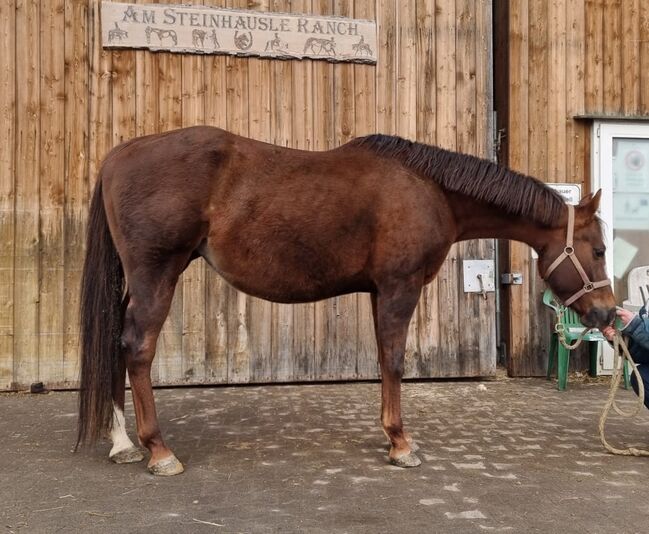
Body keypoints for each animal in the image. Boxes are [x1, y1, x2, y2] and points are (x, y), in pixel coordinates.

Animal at [78, 126, 616, 478]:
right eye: (599, 250)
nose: (608, 313)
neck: (430, 190)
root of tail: (120, 154)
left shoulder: (381, 292)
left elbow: (383, 361)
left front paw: (391, 435)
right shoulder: (400, 287)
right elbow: (395, 361)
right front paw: (401, 444)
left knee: (115, 344)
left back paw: (122, 442)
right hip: (157, 274)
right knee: (137, 348)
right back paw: (158, 450)